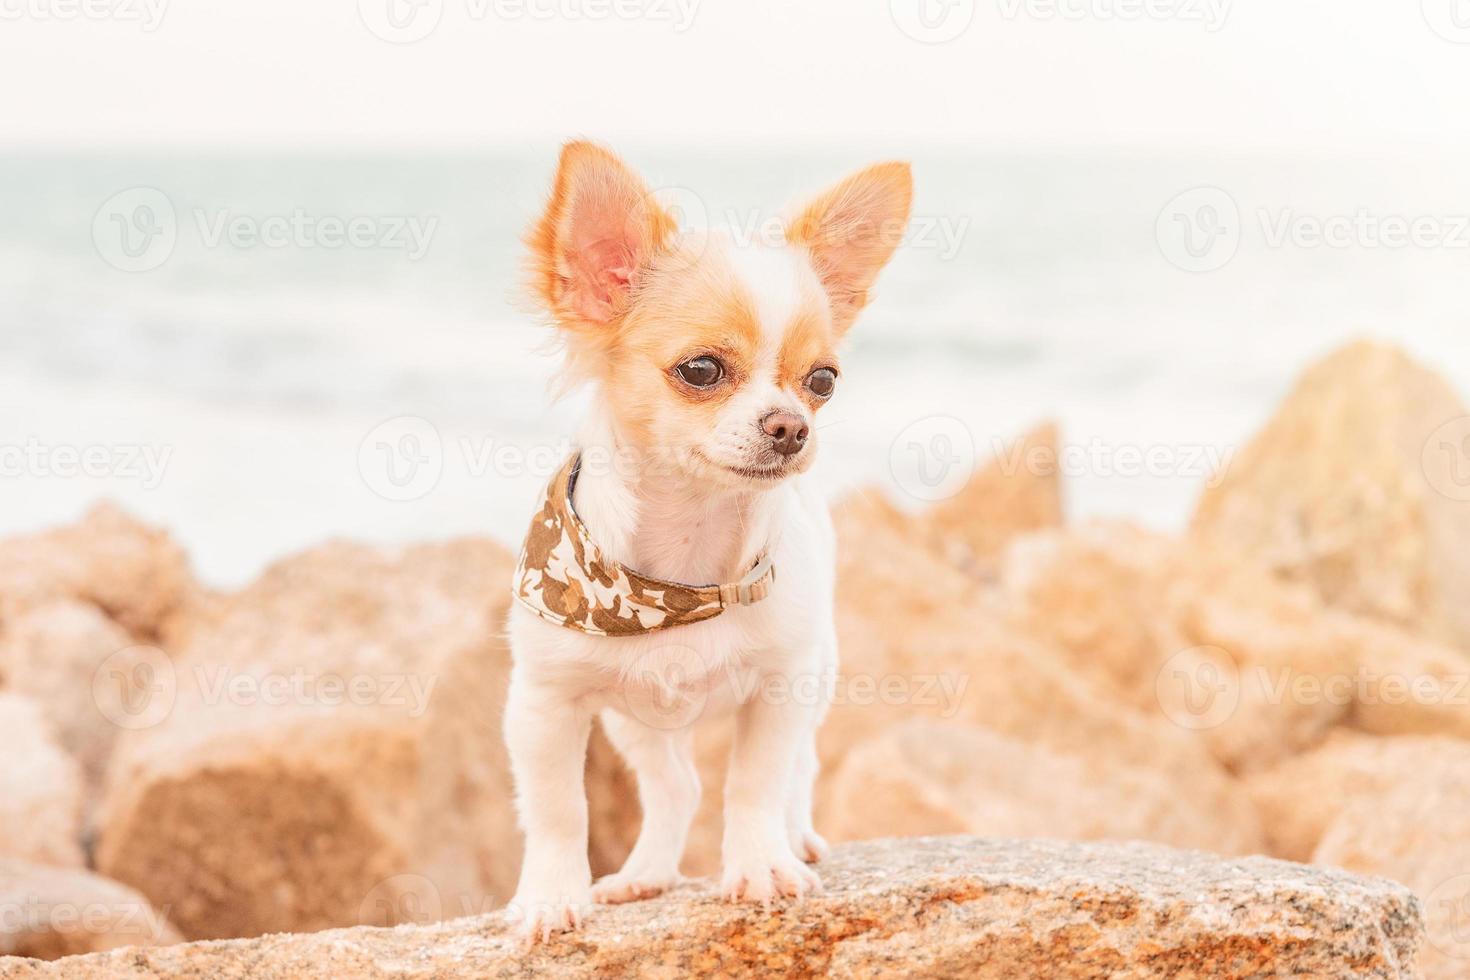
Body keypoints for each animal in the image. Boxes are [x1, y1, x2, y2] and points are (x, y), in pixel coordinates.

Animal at [511, 139, 911, 940]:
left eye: (824, 380)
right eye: (701, 369)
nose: (792, 426)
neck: (680, 575)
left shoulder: (781, 689)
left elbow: (755, 784)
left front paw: (759, 867)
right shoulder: (542, 705)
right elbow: (558, 812)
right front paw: (549, 898)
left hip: (819, 674)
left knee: (798, 772)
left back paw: (796, 838)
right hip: (636, 723)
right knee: (677, 787)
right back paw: (647, 873)